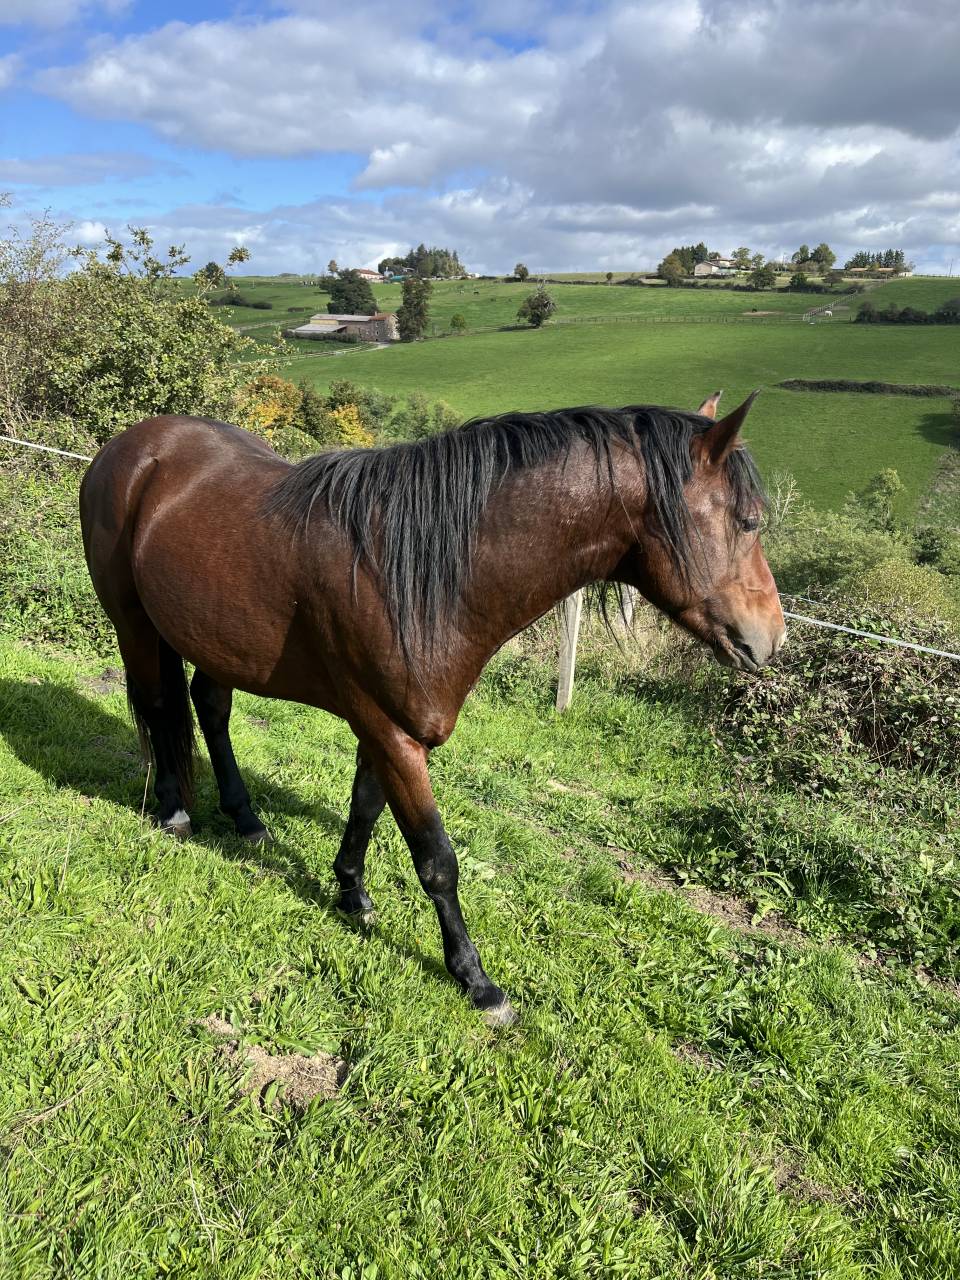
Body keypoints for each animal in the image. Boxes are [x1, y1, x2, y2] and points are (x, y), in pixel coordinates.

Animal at [79, 390, 785, 1026]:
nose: (772, 640)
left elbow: (365, 808)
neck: (411, 567)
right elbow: (436, 859)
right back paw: (173, 810)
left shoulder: (383, 725)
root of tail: (131, 446)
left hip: (216, 638)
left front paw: (352, 891)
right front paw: (475, 979)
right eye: (748, 522)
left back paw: (246, 819)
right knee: (159, 705)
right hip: (134, 623)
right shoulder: (390, 730)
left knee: (209, 706)